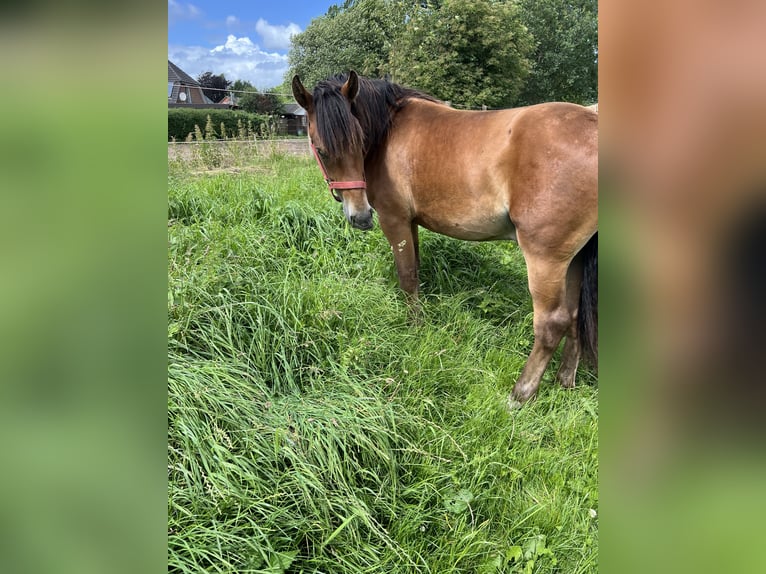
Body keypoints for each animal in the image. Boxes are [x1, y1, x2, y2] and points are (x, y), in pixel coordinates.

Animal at [294, 71, 600, 404]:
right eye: (322, 150)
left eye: (360, 142)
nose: (360, 217)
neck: (388, 129)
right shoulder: (411, 224)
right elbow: (415, 273)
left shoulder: (394, 220)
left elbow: (407, 277)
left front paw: (414, 328)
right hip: (574, 258)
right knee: (575, 316)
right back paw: (565, 381)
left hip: (545, 258)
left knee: (551, 323)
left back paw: (519, 395)